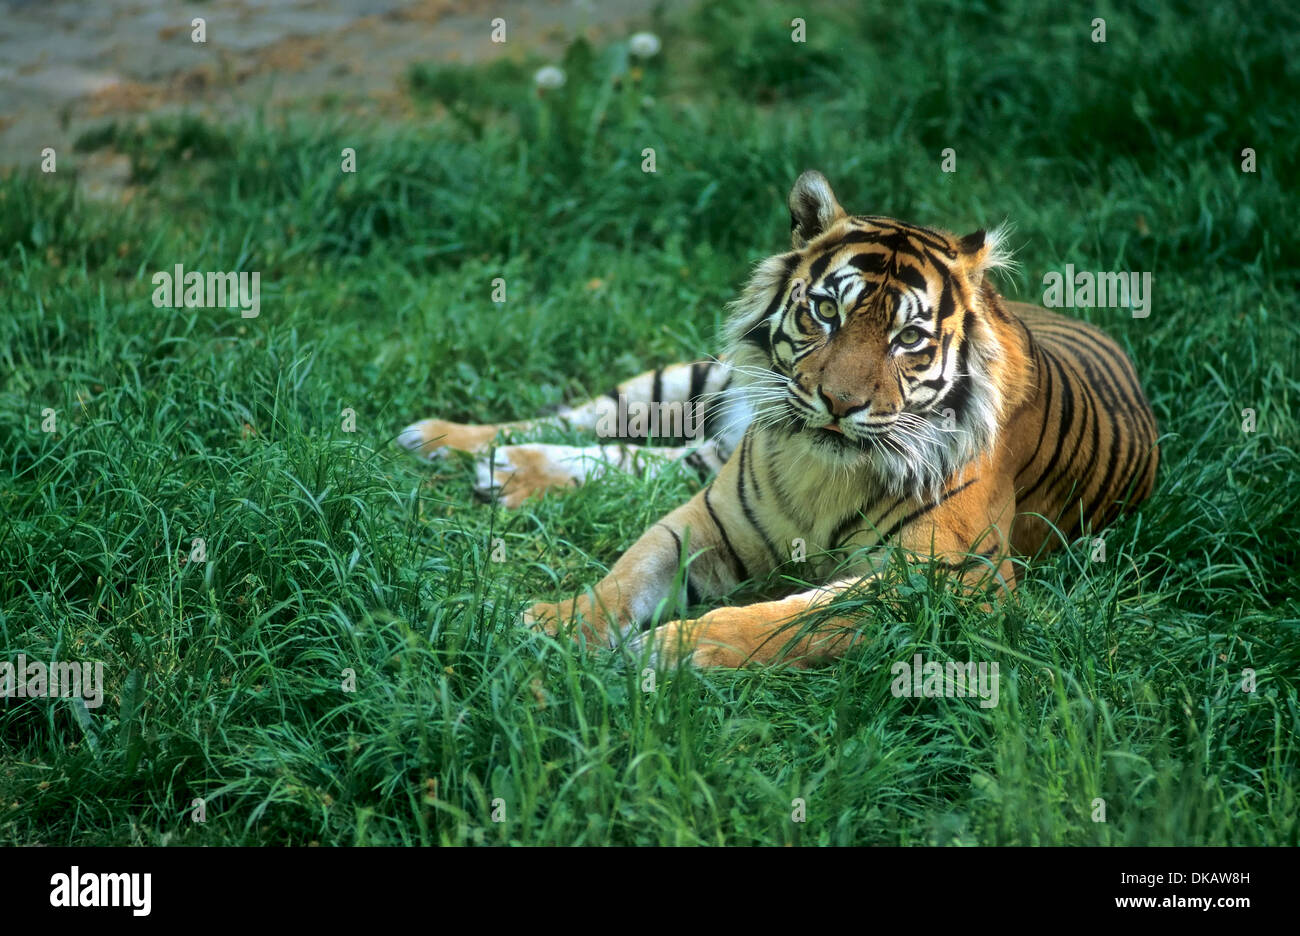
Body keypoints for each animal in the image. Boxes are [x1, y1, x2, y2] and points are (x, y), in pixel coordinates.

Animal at [400, 171, 1164, 670]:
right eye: (826, 310)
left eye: (908, 340)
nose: (840, 403)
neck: (825, 469)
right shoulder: (707, 517)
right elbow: (623, 575)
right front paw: (555, 623)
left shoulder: (956, 581)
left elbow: (791, 619)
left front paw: (667, 651)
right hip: (695, 381)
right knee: (585, 417)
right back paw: (447, 440)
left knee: (638, 456)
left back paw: (499, 469)